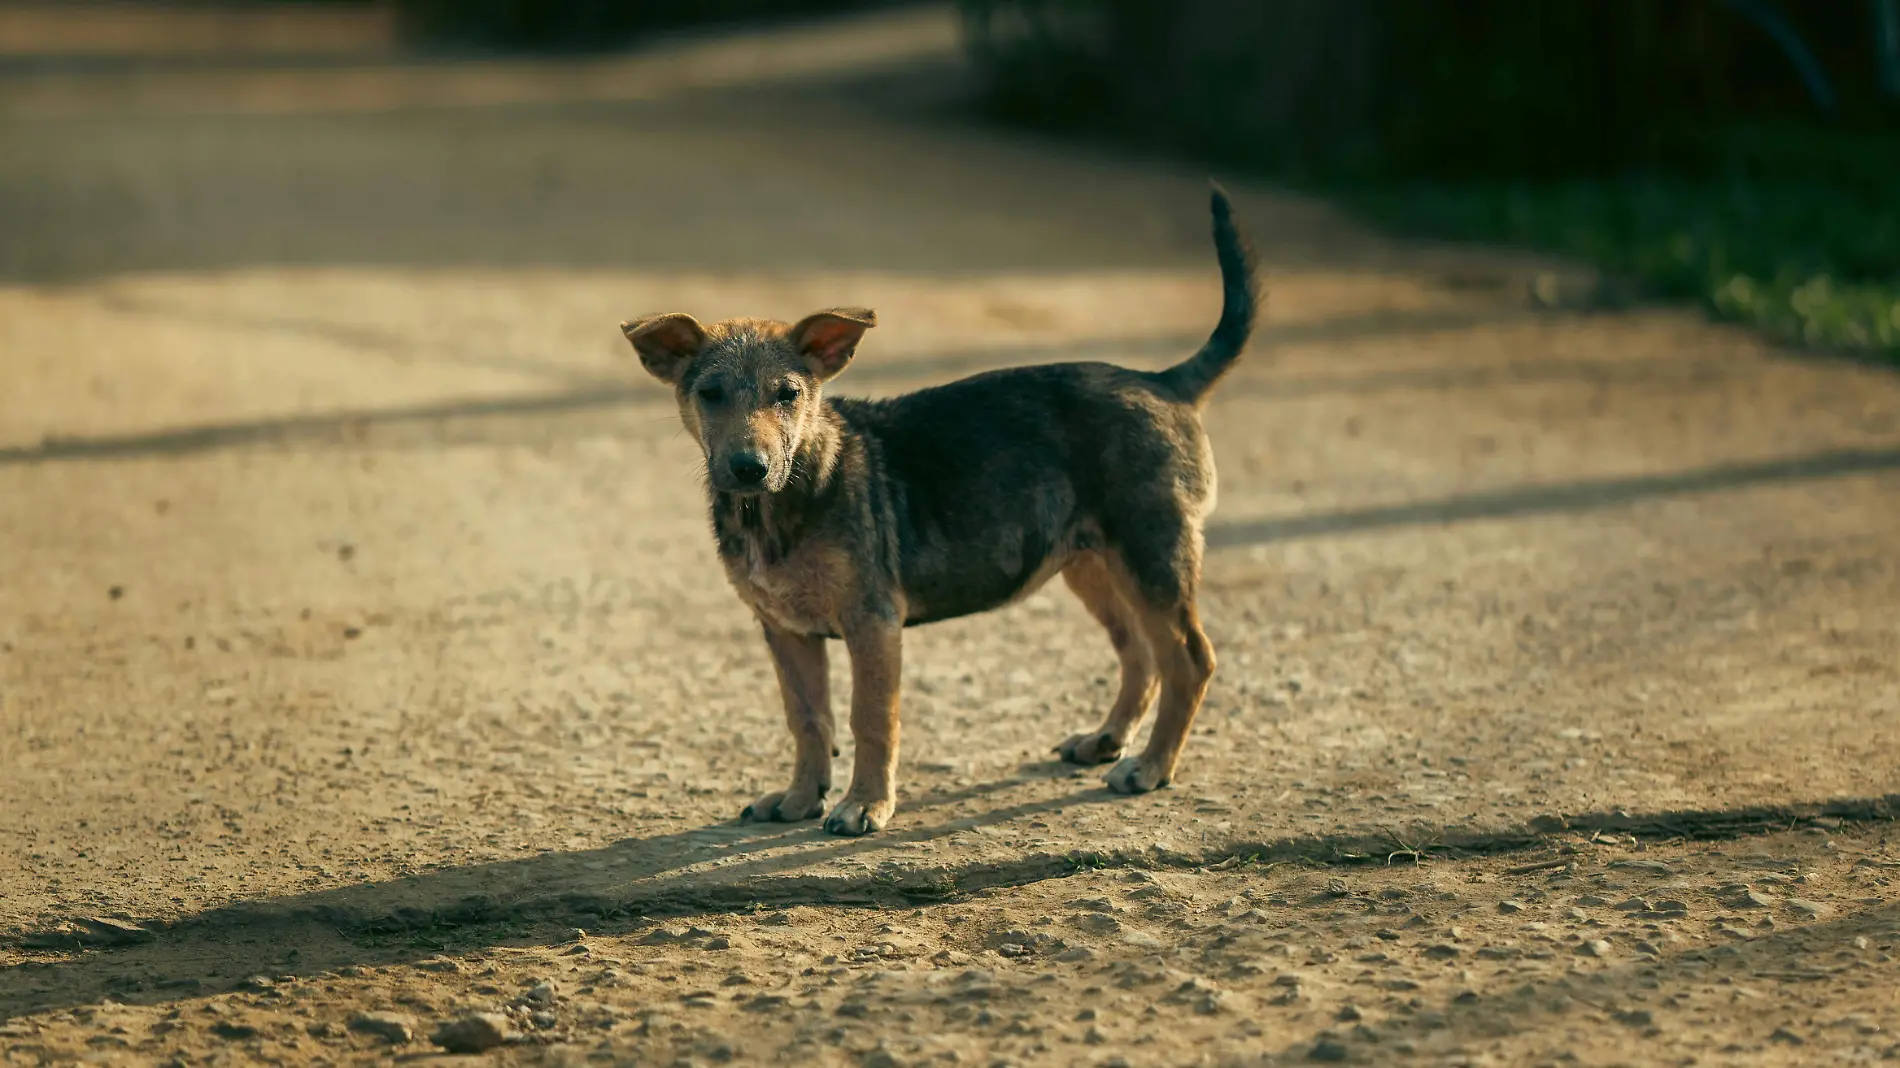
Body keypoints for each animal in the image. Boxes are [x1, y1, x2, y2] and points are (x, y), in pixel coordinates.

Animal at [623, 185, 1261, 832]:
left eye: (788, 395)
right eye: (710, 395)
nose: (748, 468)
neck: (787, 497)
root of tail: (1163, 382)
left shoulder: (872, 622)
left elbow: (870, 720)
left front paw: (864, 803)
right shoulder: (785, 630)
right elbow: (807, 719)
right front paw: (801, 797)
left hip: (1150, 552)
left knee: (1189, 659)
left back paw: (1152, 767)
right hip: (1094, 562)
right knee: (1140, 653)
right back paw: (1107, 740)